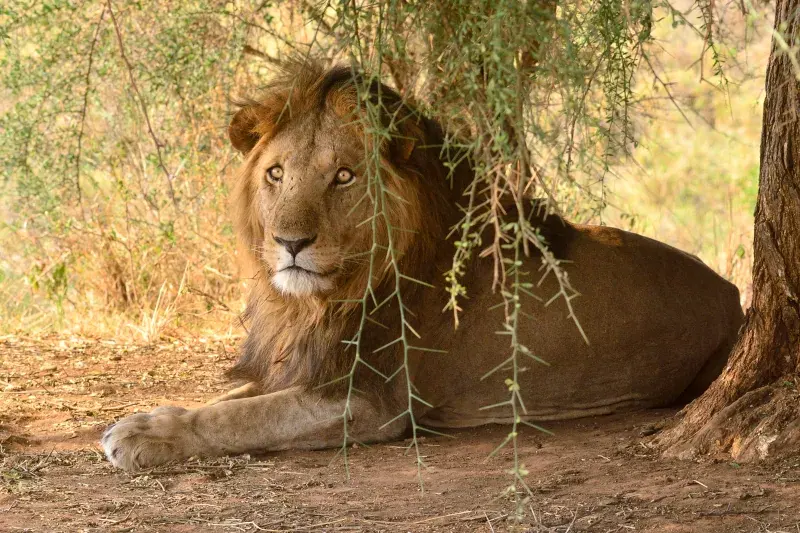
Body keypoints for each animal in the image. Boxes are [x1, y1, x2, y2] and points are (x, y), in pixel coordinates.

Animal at [102, 62, 744, 471]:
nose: (289, 242)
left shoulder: (368, 400)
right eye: (276, 174)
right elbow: (232, 400)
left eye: (343, 176)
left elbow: (245, 417)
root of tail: (734, 293)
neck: (322, 299)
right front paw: (138, 420)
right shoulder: (307, 367)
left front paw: (143, 435)